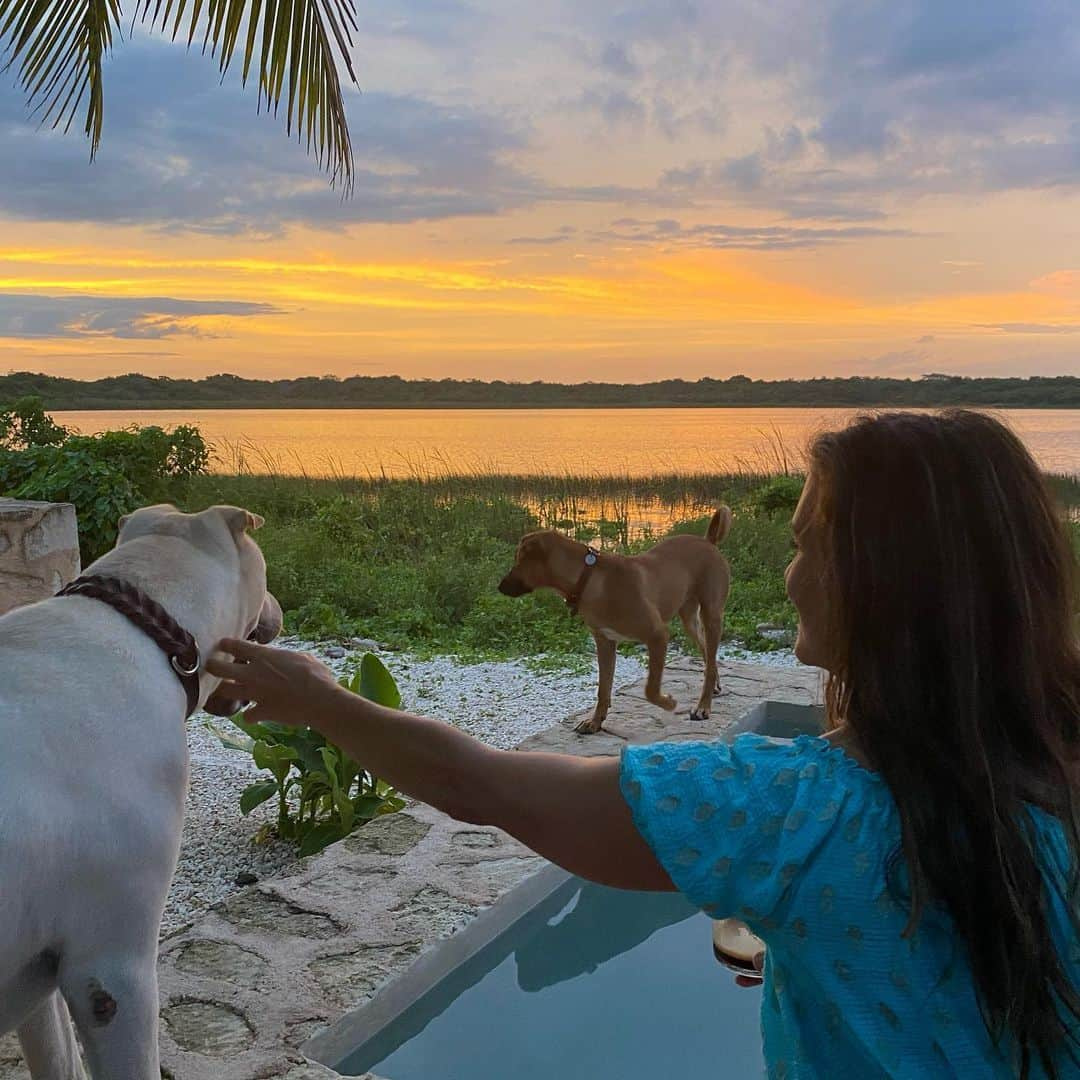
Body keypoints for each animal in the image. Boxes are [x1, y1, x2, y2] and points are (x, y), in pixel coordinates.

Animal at [496, 507, 734, 734]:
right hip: (689, 619)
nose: (500, 587)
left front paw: (668, 703)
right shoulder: (605, 642)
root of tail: (707, 541)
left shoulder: (658, 635)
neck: (589, 578)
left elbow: (650, 689)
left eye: (519, 560)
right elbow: (603, 689)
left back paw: (703, 706)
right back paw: (713, 687)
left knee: (710, 655)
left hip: (712, 614)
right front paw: (595, 722)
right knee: (708, 655)